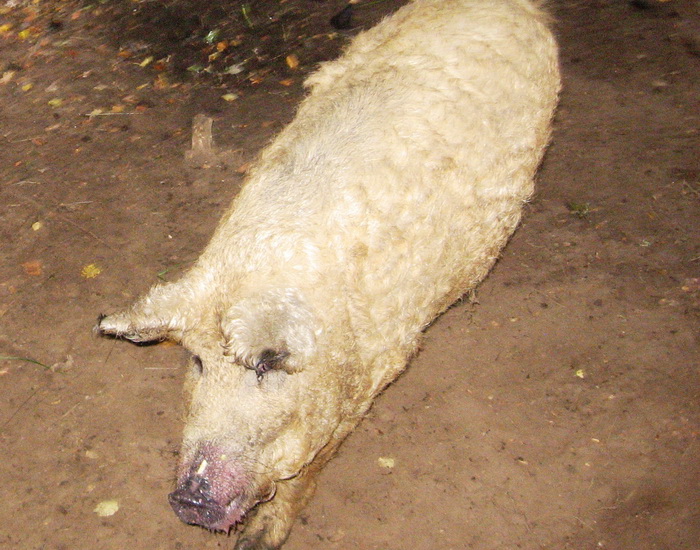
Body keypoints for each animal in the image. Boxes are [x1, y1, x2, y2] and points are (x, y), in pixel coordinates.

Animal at [96, 0, 560, 547]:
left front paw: (259, 540)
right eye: (197, 362)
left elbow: (310, 470)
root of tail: (521, 8)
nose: (188, 497)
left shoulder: (376, 371)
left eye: (264, 368)